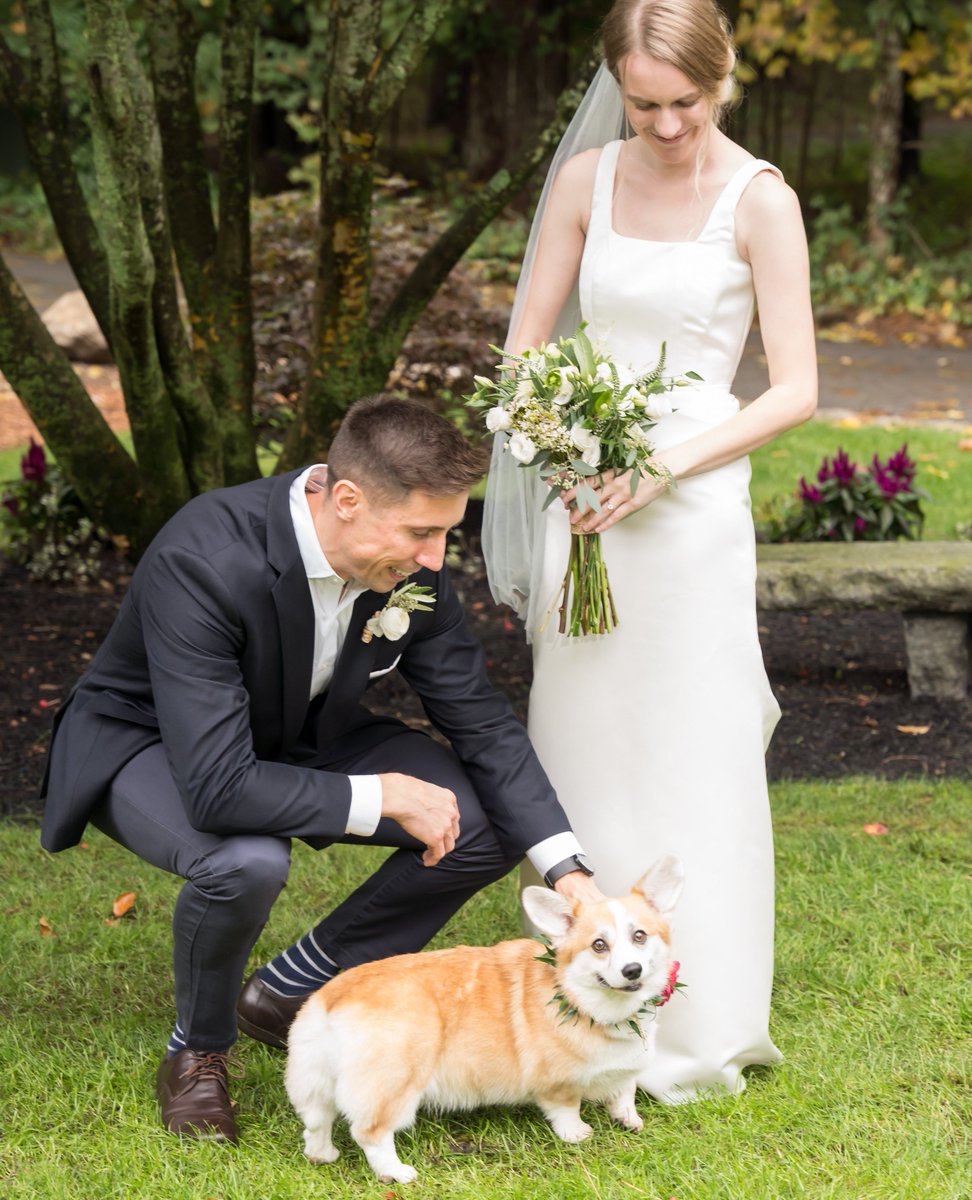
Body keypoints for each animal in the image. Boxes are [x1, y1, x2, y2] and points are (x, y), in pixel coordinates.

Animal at [282, 859, 681, 1185]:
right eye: (599, 945)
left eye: (639, 936)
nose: (632, 970)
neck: (581, 999)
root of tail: (330, 999)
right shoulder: (557, 1082)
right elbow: (566, 1109)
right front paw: (578, 1133)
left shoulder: (626, 1067)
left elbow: (625, 1089)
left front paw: (627, 1117)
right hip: (393, 1084)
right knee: (370, 1132)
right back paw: (396, 1173)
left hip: (314, 1079)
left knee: (316, 1121)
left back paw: (323, 1155)